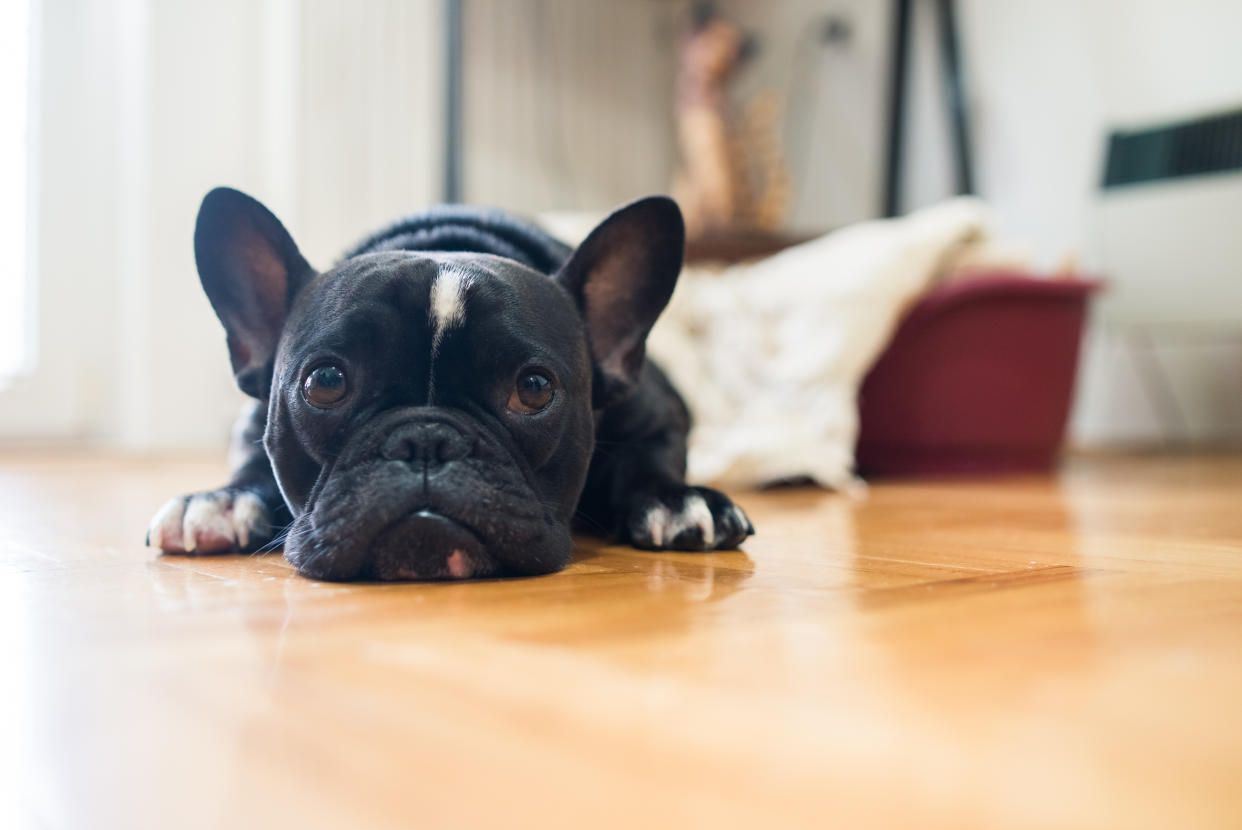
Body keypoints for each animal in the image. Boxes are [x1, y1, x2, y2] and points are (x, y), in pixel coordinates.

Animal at [145, 186, 745, 576]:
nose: (426, 441)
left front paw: (676, 500)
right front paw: (222, 502)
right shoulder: (252, 421)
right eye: (326, 381)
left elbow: (652, 456)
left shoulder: (659, 413)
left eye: (534, 389)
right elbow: (252, 462)